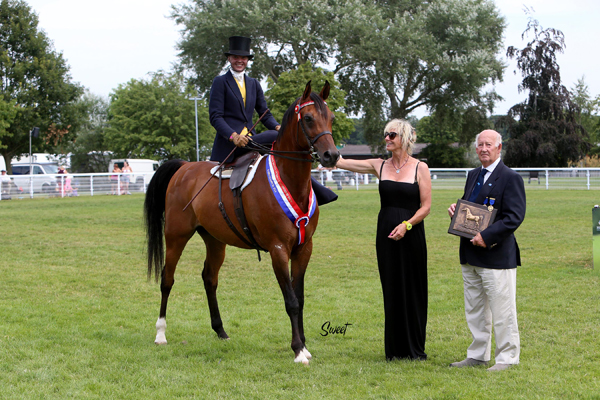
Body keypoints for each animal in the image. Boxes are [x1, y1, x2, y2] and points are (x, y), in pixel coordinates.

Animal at [144, 79, 340, 364]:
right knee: (167, 279)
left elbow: (300, 297)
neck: (290, 181)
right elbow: (291, 300)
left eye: (331, 117)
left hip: (215, 240)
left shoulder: (304, 249)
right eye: (308, 118)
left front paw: (303, 344)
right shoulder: (278, 249)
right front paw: (298, 349)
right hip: (176, 236)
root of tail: (184, 167)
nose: (331, 156)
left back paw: (220, 331)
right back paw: (161, 333)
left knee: (209, 278)